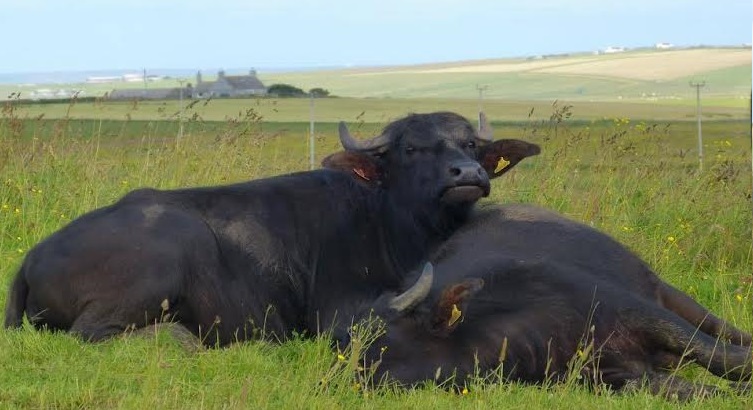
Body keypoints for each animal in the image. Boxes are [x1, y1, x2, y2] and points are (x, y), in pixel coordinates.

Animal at [4, 112, 540, 347]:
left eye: (471, 144)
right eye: (411, 148)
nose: (468, 174)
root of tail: (33, 257)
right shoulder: (338, 312)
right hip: (173, 244)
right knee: (92, 333)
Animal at [344, 204, 751, 399]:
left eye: (380, 344)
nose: (344, 380)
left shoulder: (633, 309)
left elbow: (719, 356)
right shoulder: (605, 375)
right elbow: (685, 389)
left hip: (668, 293)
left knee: (722, 333)